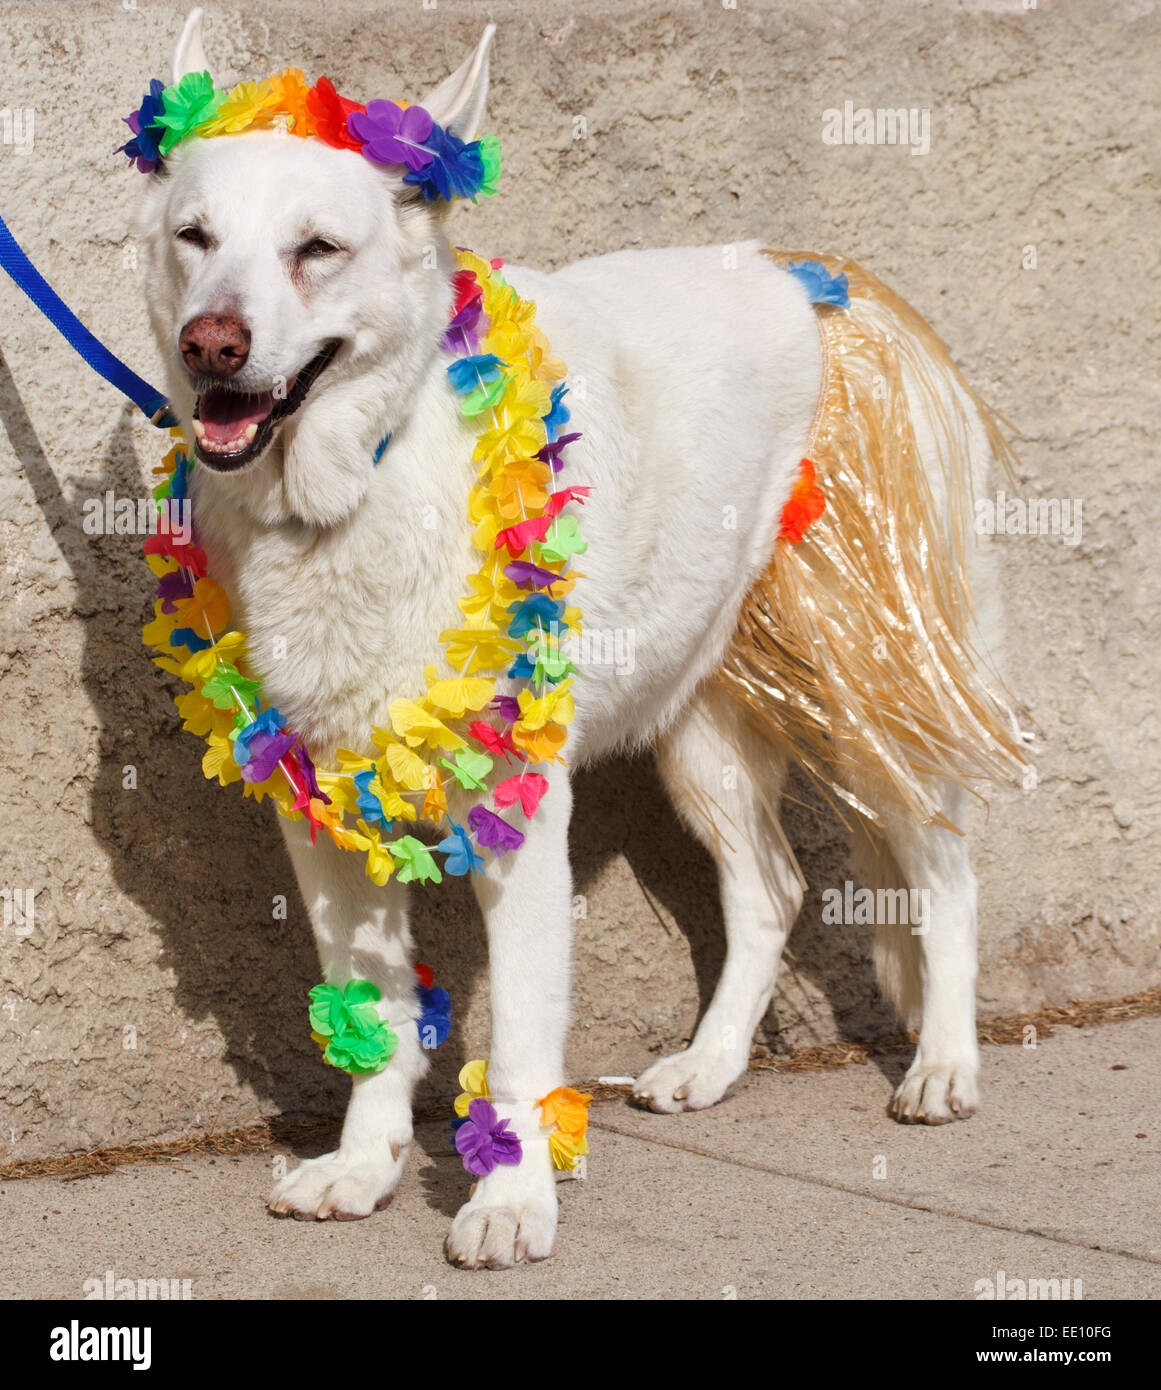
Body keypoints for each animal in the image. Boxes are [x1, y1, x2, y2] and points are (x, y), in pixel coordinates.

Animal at [134, 10, 1028, 1273]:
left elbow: (515, 1046)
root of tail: (824, 278)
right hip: (700, 721)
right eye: (193, 237)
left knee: (945, 866)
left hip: (865, 675)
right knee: (772, 888)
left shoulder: (522, 815)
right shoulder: (323, 815)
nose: (211, 344)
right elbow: (373, 1020)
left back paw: (946, 1061)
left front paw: (510, 1201)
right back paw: (711, 1062)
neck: (350, 491)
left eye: (318, 248)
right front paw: (363, 1168)